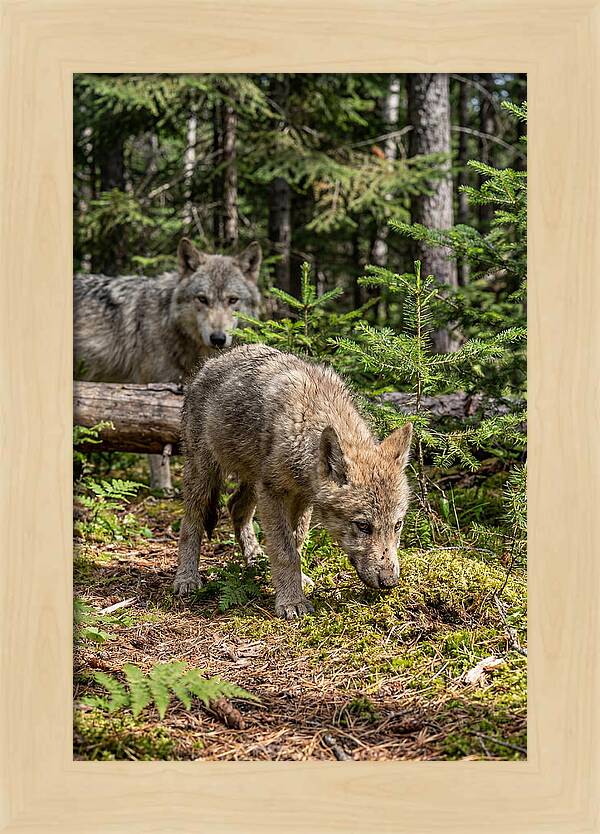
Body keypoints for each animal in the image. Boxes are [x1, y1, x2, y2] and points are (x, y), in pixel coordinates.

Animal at [74, 238, 262, 491]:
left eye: (233, 300)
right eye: (202, 299)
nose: (218, 338)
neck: (169, 322)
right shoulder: (152, 392)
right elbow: (157, 448)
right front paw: (163, 489)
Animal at [175, 344, 413, 619]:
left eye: (397, 525)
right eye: (363, 526)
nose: (389, 582)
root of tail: (210, 362)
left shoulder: (302, 498)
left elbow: (296, 543)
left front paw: (297, 582)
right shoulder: (274, 494)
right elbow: (285, 551)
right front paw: (291, 602)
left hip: (254, 482)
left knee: (235, 506)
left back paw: (255, 559)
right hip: (205, 475)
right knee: (191, 522)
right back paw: (186, 578)